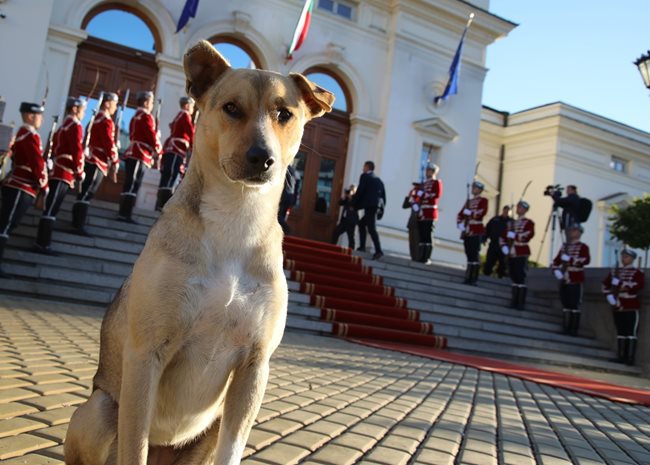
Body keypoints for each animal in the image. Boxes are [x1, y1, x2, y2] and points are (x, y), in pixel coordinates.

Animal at [64, 40, 334, 464]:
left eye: (285, 114)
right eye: (231, 108)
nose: (262, 158)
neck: (235, 218)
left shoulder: (255, 366)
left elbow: (232, 449)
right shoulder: (145, 357)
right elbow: (135, 445)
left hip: (211, 422)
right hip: (100, 408)